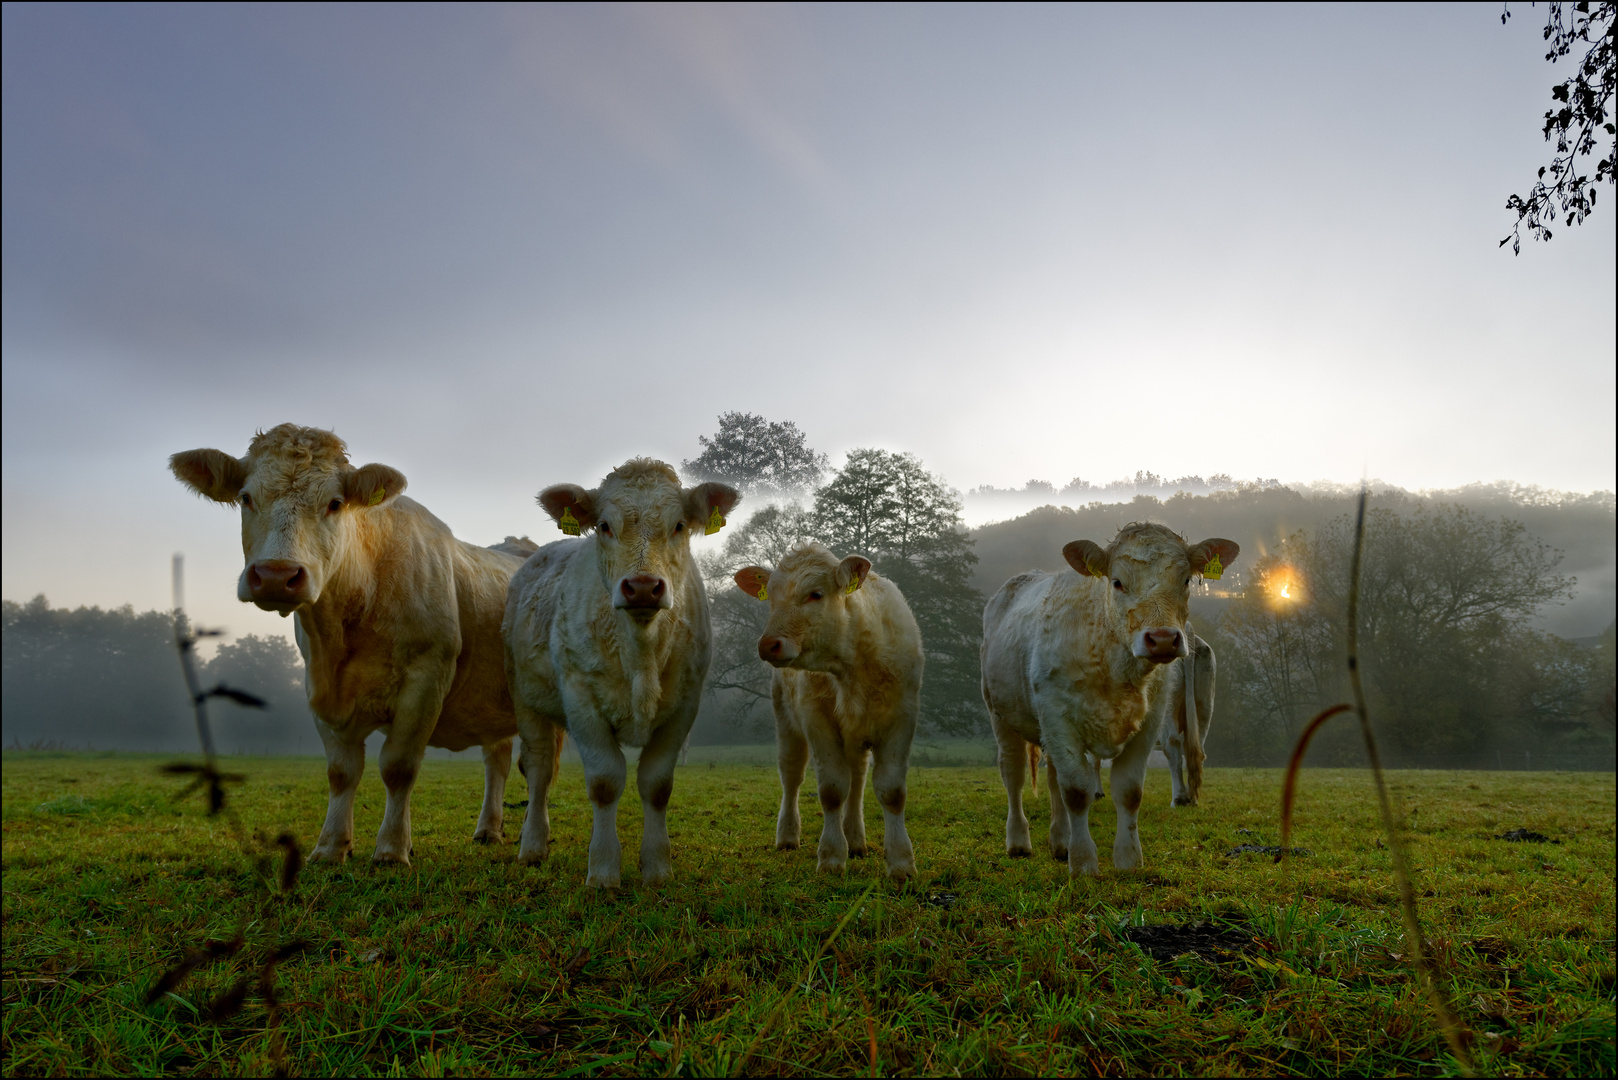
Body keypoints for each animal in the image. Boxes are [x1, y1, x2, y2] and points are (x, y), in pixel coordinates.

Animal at [173, 420, 533, 861]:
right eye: (245, 497)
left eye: (335, 503)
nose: (276, 574)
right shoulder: (318, 685)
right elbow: (341, 772)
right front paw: (330, 846)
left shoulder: (426, 679)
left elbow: (398, 767)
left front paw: (392, 849)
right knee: (497, 758)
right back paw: (488, 829)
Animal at [498, 456, 741, 887]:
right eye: (605, 526)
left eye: (679, 525)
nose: (643, 586)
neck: (641, 653)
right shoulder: (581, 699)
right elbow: (605, 782)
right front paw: (603, 869)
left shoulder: (685, 704)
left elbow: (657, 784)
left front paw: (657, 867)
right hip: (524, 696)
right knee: (538, 768)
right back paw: (532, 846)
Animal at [734, 544, 925, 880]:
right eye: (771, 597)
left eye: (815, 594)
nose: (769, 644)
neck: (853, 664)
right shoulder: (817, 720)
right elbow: (833, 789)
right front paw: (833, 856)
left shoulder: (902, 717)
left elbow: (891, 791)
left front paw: (901, 862)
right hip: (786, 721)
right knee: (792, 776)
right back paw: (788, 835)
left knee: (858, 779)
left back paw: (856, 840)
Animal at [970, 524, 1236, 880]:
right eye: (1117, 582)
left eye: (1185, 581)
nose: (1163, 639)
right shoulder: (1057, 716)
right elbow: (1076, 791)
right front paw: (1083, 862)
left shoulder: (1148, 721)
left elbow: (1128, 790)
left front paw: (1128, 859)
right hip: (1000, 713)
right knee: (1013, 772)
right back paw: (1019, 842)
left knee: (1054, 777)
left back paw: (1060, 842)